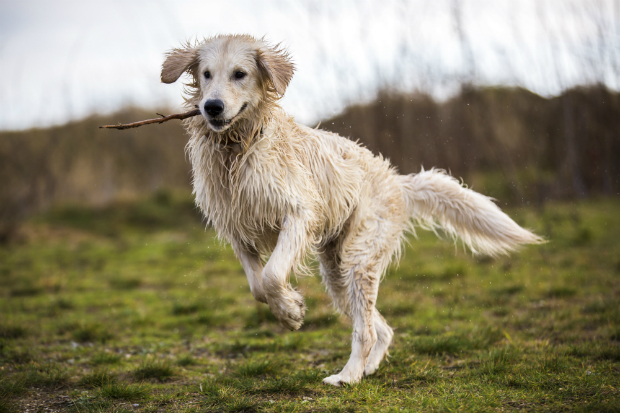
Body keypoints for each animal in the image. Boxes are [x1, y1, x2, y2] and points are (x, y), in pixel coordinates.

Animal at [161, 33, 544, 384]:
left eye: (239, 74)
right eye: (207, 73)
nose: (212, 106)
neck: (238, 148)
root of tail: (398, 182)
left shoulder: (298, 214)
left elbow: (271, 275)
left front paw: (290, 311)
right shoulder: (237, 231)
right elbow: (257, 285)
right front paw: (288, 307)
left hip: (359, 261)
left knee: (367, 330)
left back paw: (346, 377)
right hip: (338, 272)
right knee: (380, 327)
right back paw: (365, 370)